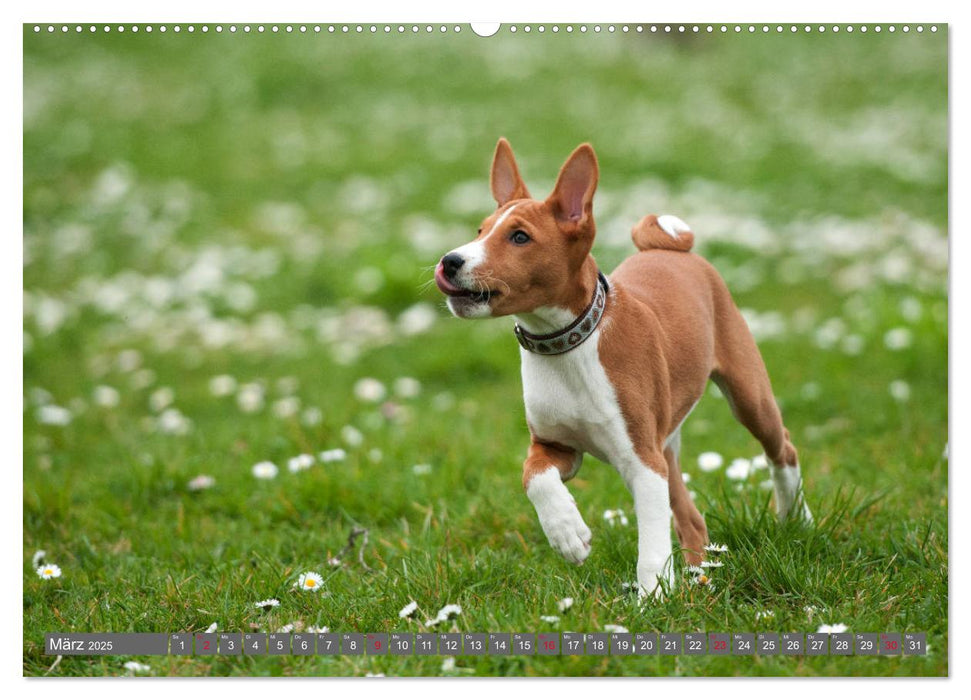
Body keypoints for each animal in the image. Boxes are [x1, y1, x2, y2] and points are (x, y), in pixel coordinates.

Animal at [434, 139, 812, 600]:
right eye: (480, 231)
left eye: (519, 237)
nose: (449, 261)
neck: (566, 348)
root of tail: (670, 252)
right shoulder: (556, 446)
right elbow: (534, 477)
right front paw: (567, 533)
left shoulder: (642, 462)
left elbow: (651, 540)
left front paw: (652, 597)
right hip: (665, 439)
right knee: (691, 518)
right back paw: (697, 577)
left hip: (746, 395)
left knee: (783, 449)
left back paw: (796, 521)